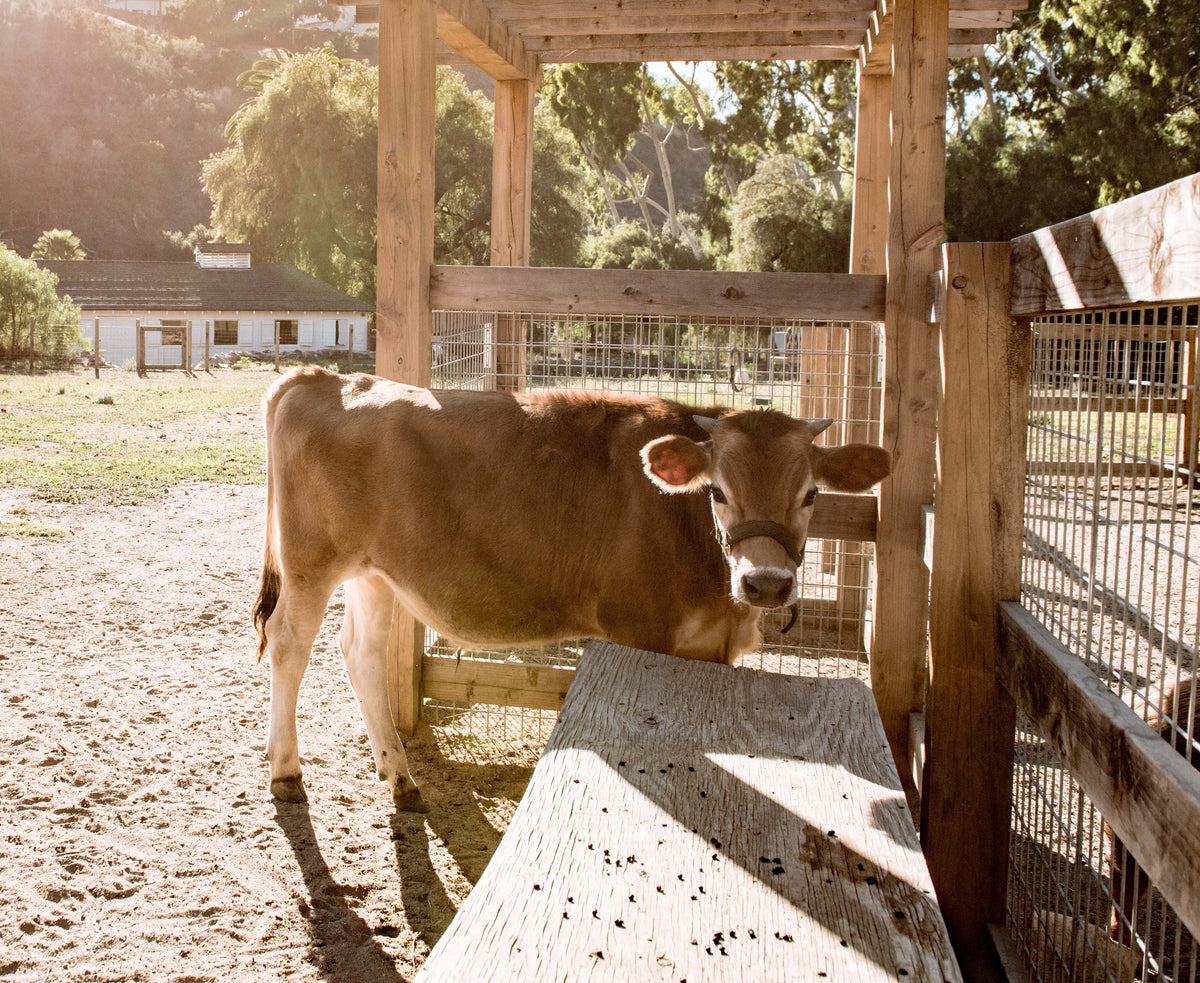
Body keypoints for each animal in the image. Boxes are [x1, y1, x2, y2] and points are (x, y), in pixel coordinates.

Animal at [252, 366, 891, 811]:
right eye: (718, 491)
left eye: (811, 495)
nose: (764, 583)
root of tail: (327, 378)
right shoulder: (641, 627)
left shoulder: (710, 647)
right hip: (312, 563)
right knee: (289, 644)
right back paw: (286, 772)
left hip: (373, 571)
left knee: (362, 652)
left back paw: (400, 778)